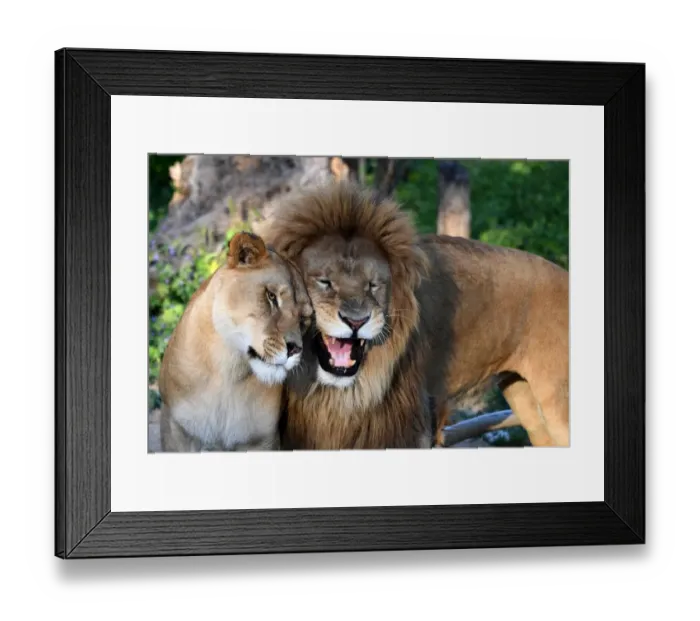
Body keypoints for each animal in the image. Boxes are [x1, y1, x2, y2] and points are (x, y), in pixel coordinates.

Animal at [158, 231, 313, 452]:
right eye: (271, 296)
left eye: (303, 320)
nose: (295, 349)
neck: (228, 373)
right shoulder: (176, 428)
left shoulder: (262, 441)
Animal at [261, 181, 570, 450]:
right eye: (324, 282)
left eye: (373, 285)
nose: (356, 321)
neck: (338, 395)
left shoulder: (412, 426)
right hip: (525, 399)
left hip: (557, 402)